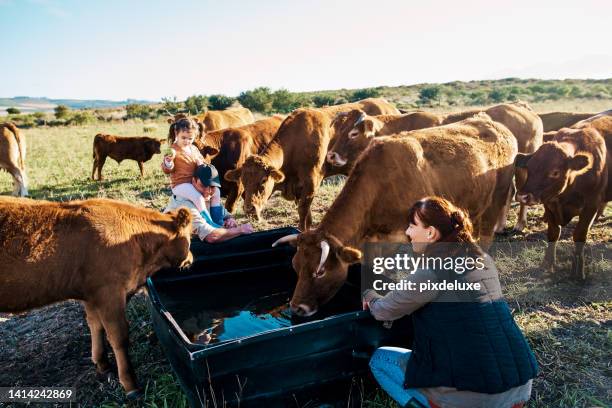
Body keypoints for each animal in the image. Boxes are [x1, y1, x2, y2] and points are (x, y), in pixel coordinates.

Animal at [0, 198, 194, 398]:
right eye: (190, 238)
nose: (191, 258)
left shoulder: (92, 295)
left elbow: (95, 325)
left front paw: (102, 364)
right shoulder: (109, 292)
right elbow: (118, 337)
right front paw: (130, 385)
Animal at [225, 97, 402, 228]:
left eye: (263, 181)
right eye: (243, 181)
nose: (249, 209)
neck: (296, 142)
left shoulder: (311, 182)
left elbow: (303, 213)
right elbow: (307, 217)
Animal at [272, 112, 516, 316]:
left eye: (320, 271)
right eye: (296, 265)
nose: (297, 308)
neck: (380, 183)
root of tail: (494, 123)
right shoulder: (375, 240)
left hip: (497, 198)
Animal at [512, 111, 608, 280]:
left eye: (555, 172)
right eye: (529, 167)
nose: (523, 196)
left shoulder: (591, 205)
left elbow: (579, 235)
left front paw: (578, 272)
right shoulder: (549, 203)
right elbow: (553, 233)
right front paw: (547, 264)